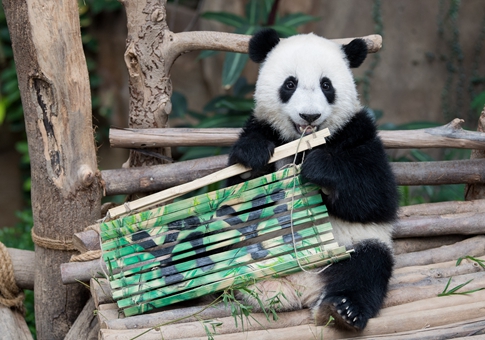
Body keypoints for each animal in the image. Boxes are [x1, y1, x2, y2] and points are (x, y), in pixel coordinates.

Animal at [227, 27, 398, 330]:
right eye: (290, 84)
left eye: (326, 85)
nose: (310, 115)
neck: (304, 144)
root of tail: (300, 288)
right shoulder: (260, 127)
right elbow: (234, 200)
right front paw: (253, 156)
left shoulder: (358, 133)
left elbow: (377, 196)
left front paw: (320, 169)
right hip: (247, 250)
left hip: (356, 246)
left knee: (367, 269)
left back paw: (342, 310)